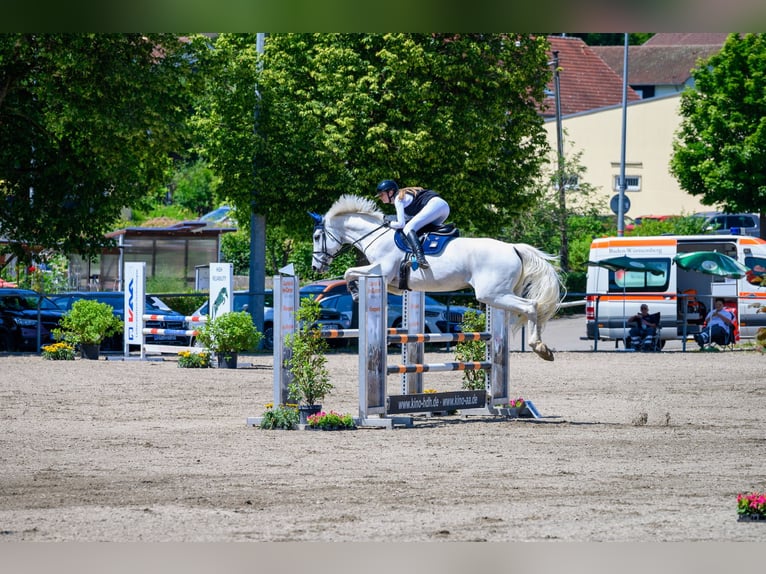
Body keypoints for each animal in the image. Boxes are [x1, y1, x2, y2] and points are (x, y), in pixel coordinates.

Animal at [310, 194, 563, 361]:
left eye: (316, 236)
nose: (315, 267)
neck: (377, 235)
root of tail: (513, 248)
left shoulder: (381, 270)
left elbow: (348, 272)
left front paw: (354, 292)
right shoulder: (393, 284)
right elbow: (352, 274)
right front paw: (354, 291)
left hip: (493, 293)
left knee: (531, 306)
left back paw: (540, 347)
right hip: (501, 293)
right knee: (526, 308)